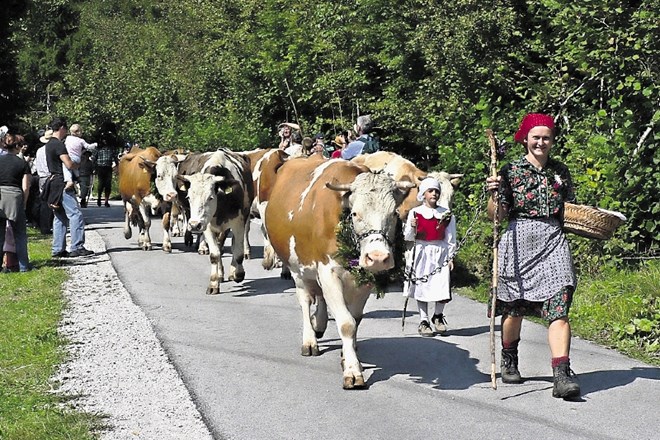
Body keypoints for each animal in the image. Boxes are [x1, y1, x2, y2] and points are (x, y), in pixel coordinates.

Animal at [179, 149, 254, 296]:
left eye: (210, 197)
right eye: (189, 197)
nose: (194, 224)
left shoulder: (238, 223)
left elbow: (238, 251)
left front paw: (238, 274)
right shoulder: (207, 226)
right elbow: (214, 254)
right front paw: (214, 283)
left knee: (233, 245)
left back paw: (233, 271)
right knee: (220, 247)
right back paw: (220, 274)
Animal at [262, 156, 412, 388]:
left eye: (394, 213)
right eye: (355, 213)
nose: (378, 257)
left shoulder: (365, 281)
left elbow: (355, 319)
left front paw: (347, 356)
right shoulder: (328, 271)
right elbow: (346, 323)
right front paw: (352, 371)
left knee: (321, 299)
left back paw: (320, 323)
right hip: (297, 269)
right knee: (305, 301)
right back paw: (309, 340)